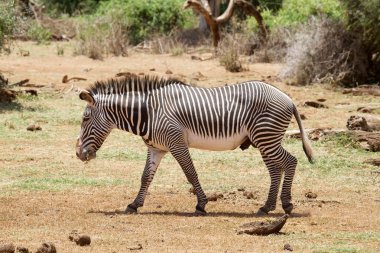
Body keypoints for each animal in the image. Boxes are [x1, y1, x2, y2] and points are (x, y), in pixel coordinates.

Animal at [75, 75, 314, 215]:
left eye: (85, 119)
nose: (78, 154)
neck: (148, 112)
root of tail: (288, 98)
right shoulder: (157, 148)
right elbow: (146, 177)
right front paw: (134, 204)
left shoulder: (176, 142)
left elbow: (190, 173)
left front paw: (201, 204)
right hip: (264, 139)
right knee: (275, 169)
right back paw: (266, 207)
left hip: (266, 137)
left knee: (291, 161)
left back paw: (286, 204)